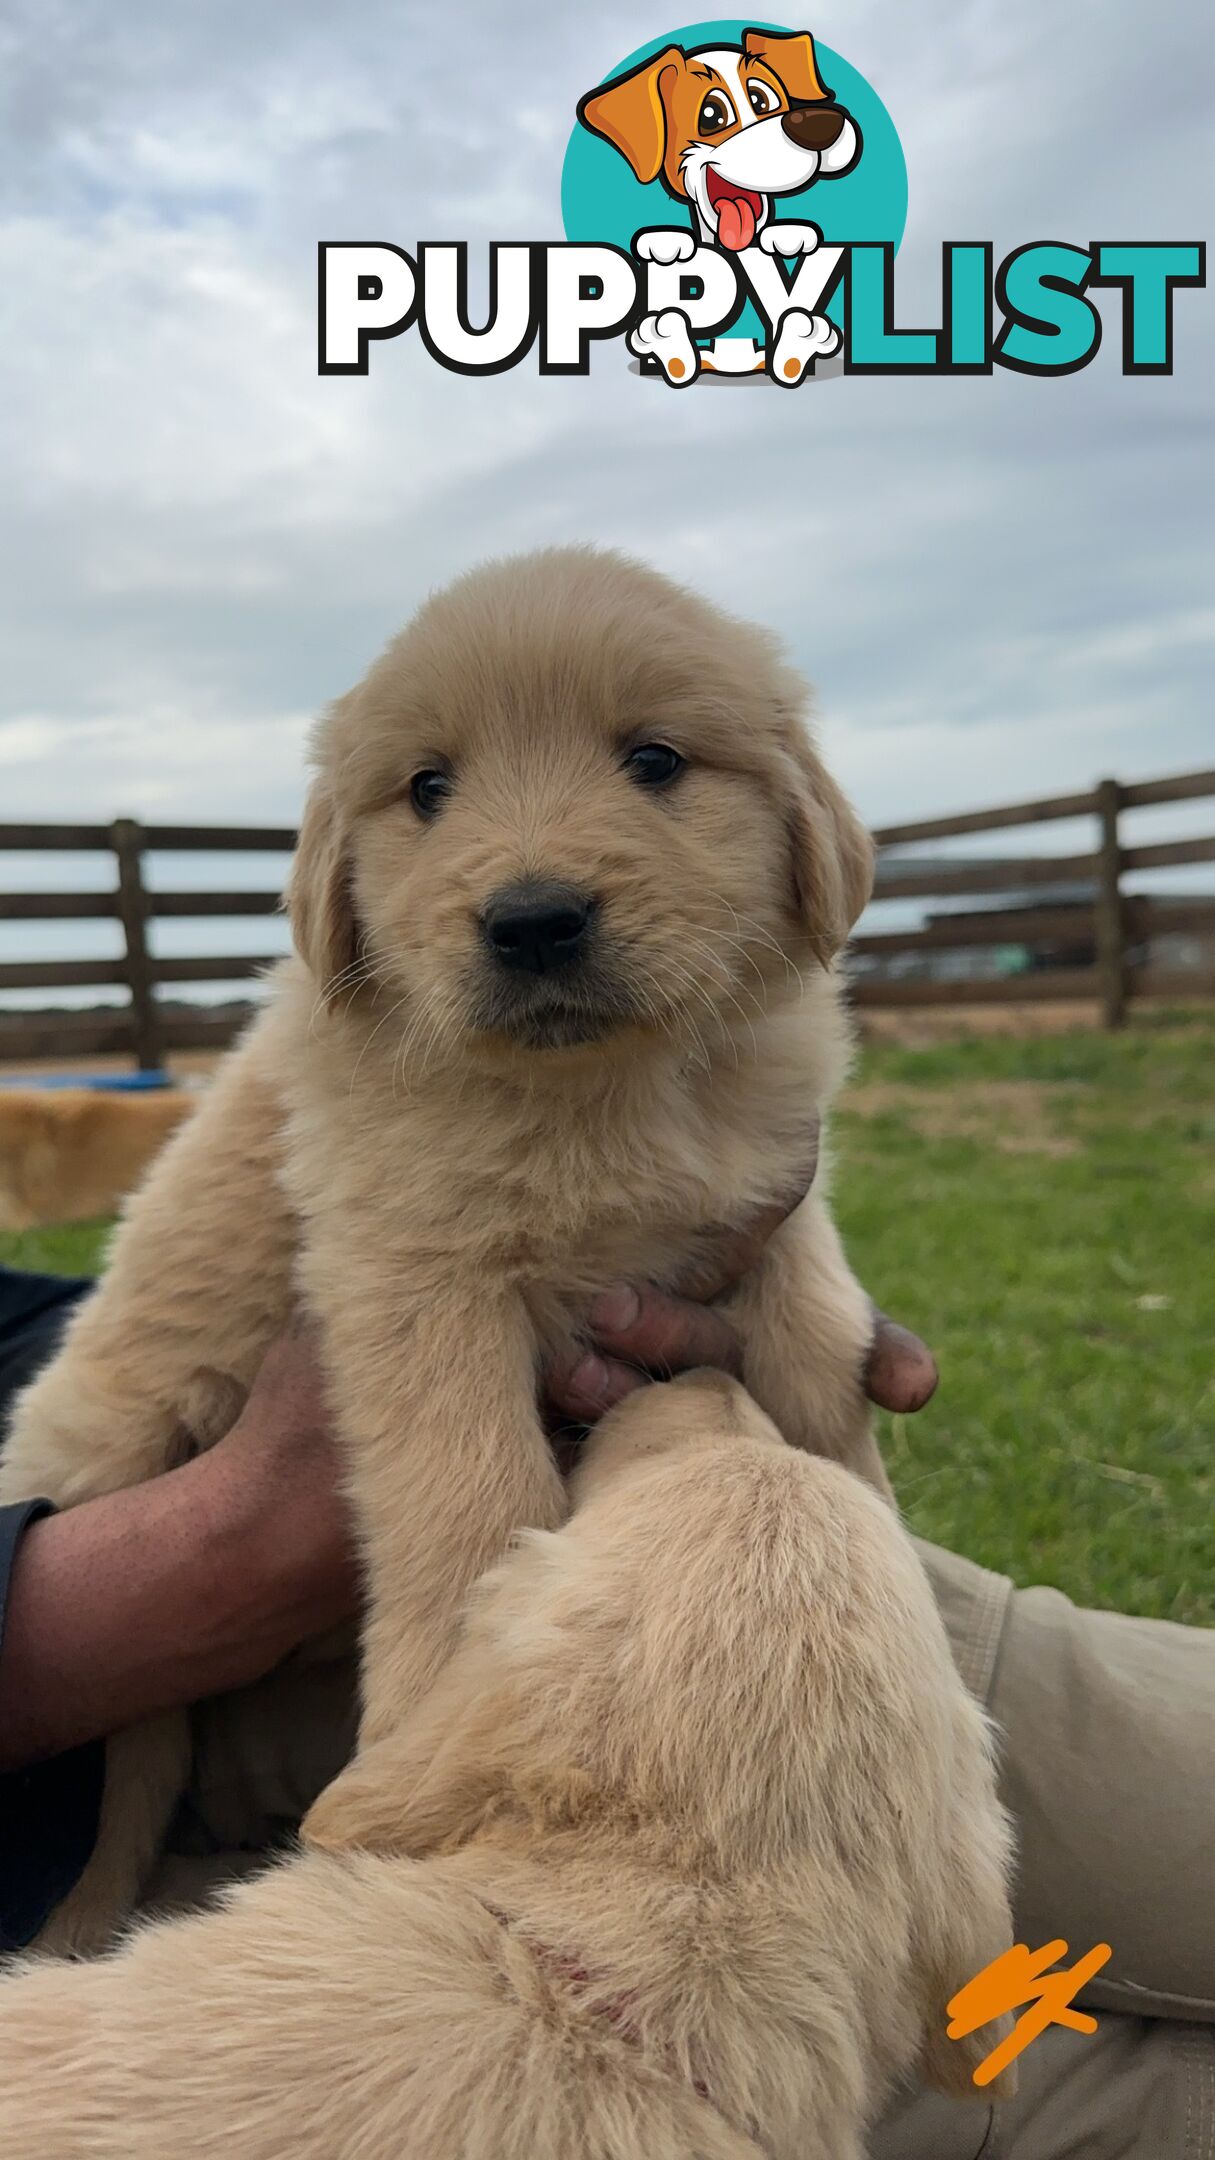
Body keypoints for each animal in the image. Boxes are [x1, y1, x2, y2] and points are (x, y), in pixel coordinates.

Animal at [4, 548, 886, 1952]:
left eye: (653, 760)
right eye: (427, 788)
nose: (532, 920)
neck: (595, 1091)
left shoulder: (768, 1204)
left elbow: (818, 1360)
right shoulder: (417, 1277)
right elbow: (473, 1490)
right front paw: (443, 1695)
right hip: (115, 1467)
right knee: (133, 1775)